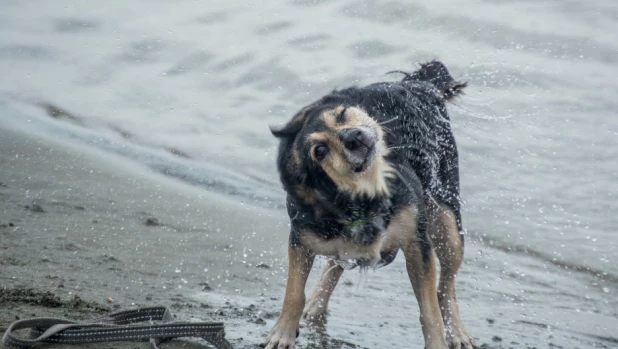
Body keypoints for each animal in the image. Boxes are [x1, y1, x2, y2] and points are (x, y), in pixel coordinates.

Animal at [262, 61, 474, 346]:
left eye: (341, 114)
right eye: (320, 150)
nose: (353, 136)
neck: (362, 200)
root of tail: (417, 84)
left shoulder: (417, 243)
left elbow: (430, 311)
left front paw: (438, 343)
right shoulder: (301, 238)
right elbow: (294, 292)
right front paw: (282, 332)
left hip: (447, 219)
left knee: (447, 286)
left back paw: (457, 331)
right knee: (336, 262)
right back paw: (317, 302)